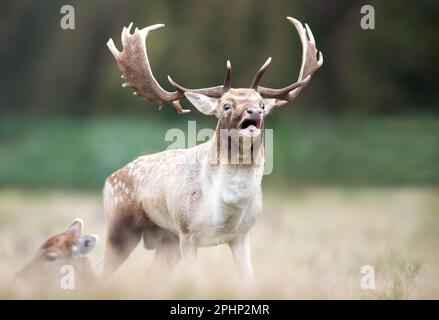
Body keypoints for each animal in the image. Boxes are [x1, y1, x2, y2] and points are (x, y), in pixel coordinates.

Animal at [102, 16, 324, 284]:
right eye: (226, 105)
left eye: (262, 104)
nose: (254, 112)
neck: (224, 213)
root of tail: (109, 179)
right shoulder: (187, 231)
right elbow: (193, 281)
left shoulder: (242, 235)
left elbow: (249, 280)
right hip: (121, 224)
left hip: (165, 239)